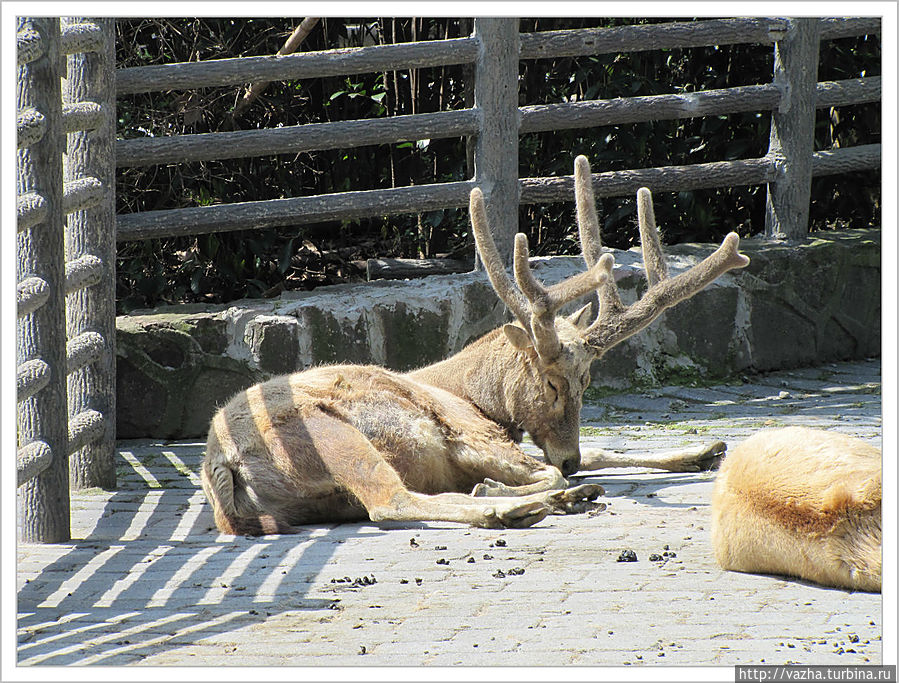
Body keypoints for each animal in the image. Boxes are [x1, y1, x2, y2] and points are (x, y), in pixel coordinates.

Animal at [204, 155, 752, 536]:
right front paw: (528, 485)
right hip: (332, 435)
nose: (569, 457)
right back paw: (517, 505)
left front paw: (704, 450)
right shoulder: (470, 433)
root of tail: (222, 469)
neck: (473, 394)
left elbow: (597, 450)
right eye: (550, 384)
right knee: (390, 503)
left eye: (587, 380)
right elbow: (547, 470)